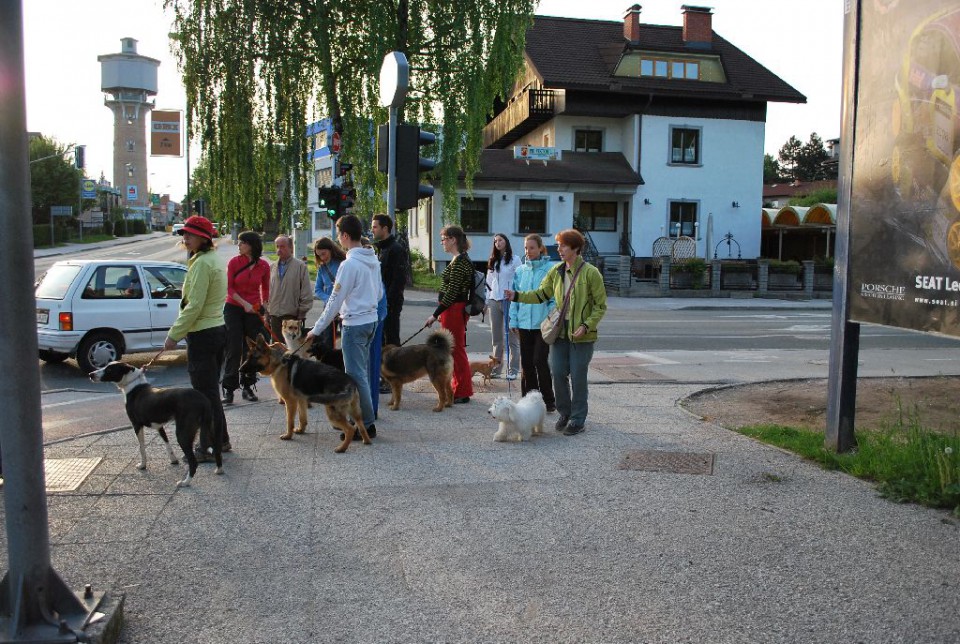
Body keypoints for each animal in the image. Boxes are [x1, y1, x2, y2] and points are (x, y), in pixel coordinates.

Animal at [90, 360, 223, 486]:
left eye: (110, 369)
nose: (90, 374)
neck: (133, 385)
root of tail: (203, 400)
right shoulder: (159, 426)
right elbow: (167, 443)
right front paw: (173, 460)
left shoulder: (136, 425)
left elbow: (141, 447)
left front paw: (142, 465)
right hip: (208, 427)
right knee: (217, 447)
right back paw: (219, 469)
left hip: (183, 433)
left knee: (193, 462)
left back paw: (185, 482)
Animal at [240, 338, 372, 452]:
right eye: (247, 357)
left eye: (254, 358)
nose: (239, 370)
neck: (279, 362)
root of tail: (350, 384)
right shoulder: (301, 400)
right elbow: (302, 418)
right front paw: (300, 430)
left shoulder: (290, 402)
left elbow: (290, 422)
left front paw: (288, 436)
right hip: (355, 412)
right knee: (361, 425)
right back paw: (366, 441)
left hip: (332, 412)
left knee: (350, 429)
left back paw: (342, 448)